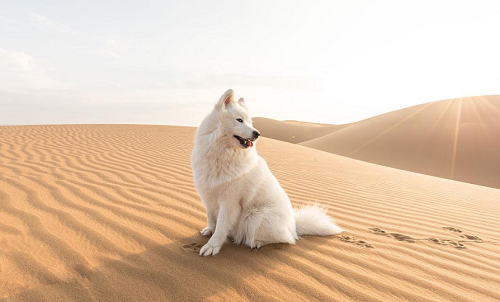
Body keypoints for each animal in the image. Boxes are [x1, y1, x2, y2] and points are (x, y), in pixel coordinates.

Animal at [191, 88, 344, 256]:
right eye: (239, 120)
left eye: (250, 122)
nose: (257, 133)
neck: (222, 154)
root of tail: (294, 225)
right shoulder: (208, 195)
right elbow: (212, 219)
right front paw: (209, 230)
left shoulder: (229, 202)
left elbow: (221, 226)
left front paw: (212, 246)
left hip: (255, 217)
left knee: (287, 239)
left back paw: (257, 243)